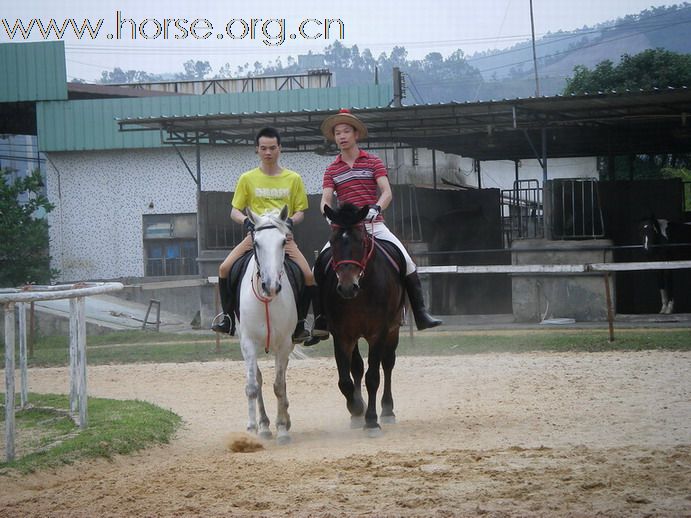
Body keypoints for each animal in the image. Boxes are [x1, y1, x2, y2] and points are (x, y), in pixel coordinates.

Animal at [238, 207, 298, 446]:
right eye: (256, 243)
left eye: (283, 241)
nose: (271, 285)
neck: (267, 300)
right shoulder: (247, 343)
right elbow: (252, 387)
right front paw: (251, 431)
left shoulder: (283, 344)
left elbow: (279, 386)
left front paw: (282, 429)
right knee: (259, 379)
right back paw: (263, 426)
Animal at [316, 205, 408, 436]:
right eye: (333, 241)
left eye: (361, 242)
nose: (347, 287)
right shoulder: (342, 335)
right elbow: (345, 380)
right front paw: (357, 408)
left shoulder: (379, 333)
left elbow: (373, 377)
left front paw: (372, 421)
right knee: (356, 367)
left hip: (393, 330)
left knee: (388, 363)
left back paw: (387, 410)